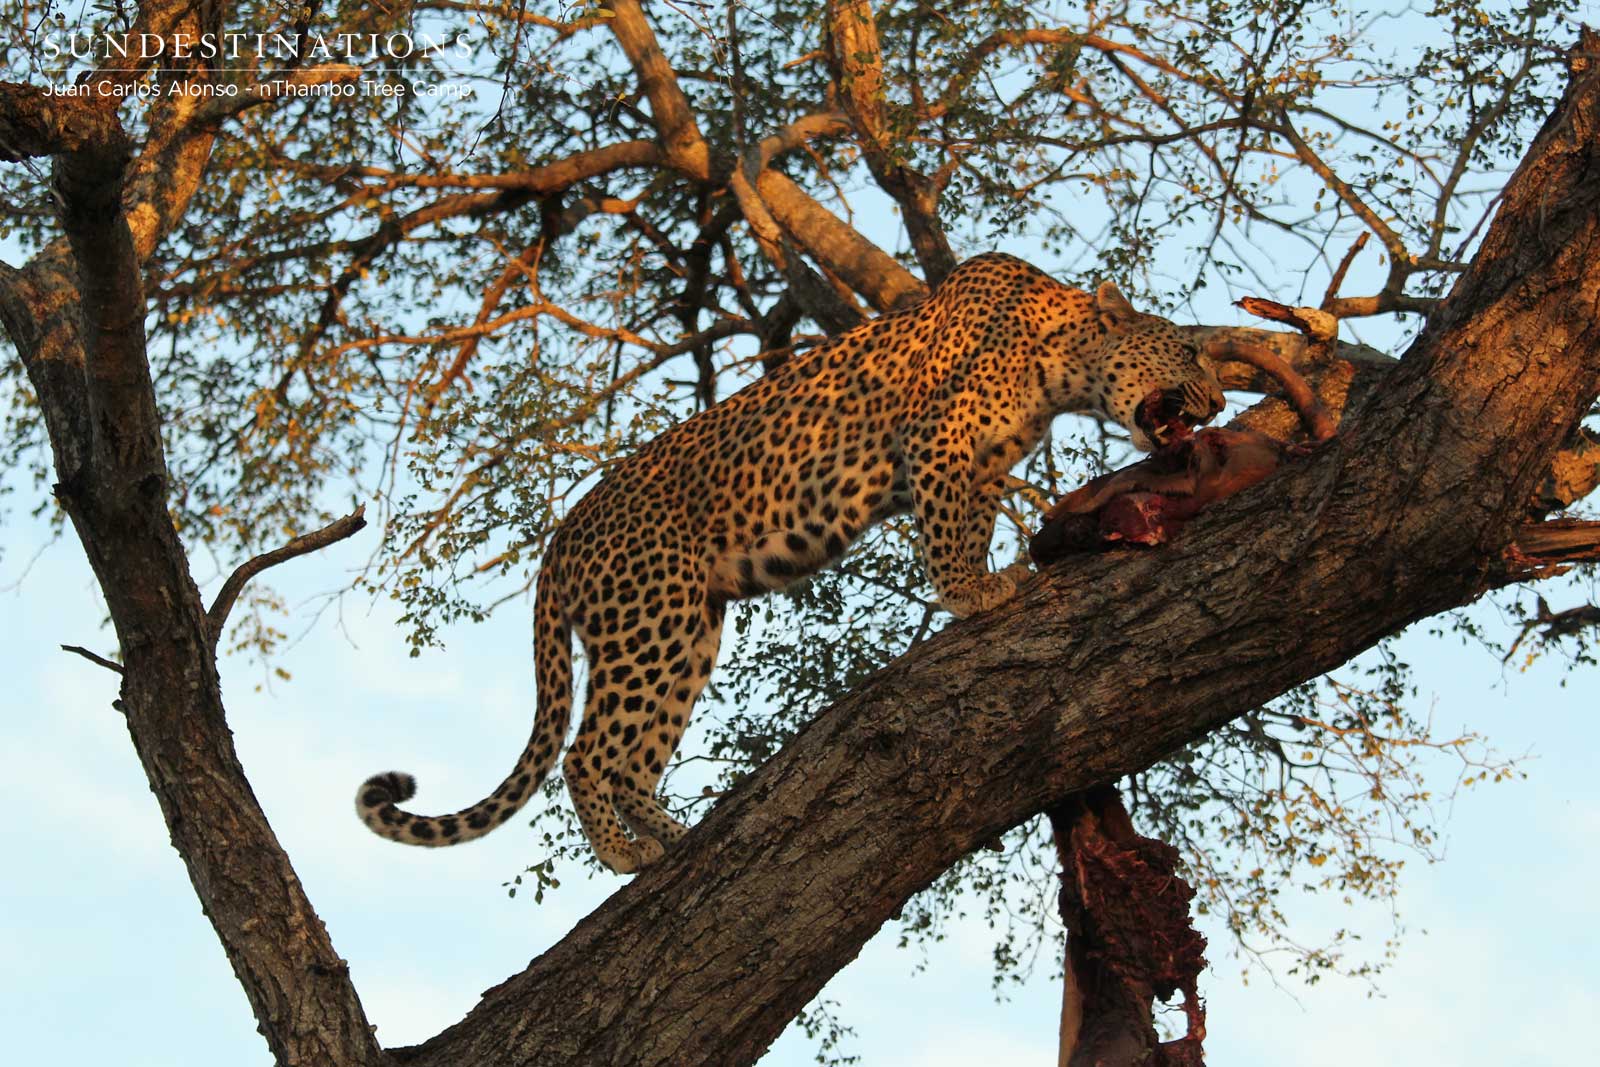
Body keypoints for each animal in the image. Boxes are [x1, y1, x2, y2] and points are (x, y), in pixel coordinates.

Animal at [355, 252, 1227, 873]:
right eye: (1189, 350)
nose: (1220, 403)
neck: (1062, 361)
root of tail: (562, 534)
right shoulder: (941, 444)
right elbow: (949, 536)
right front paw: (974, 592)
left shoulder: (980, 464)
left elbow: (971, 522)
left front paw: (982, 581)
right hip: (650, 621)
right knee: (584, 752)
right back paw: (622, 851)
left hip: (690, 629)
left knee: (632, 759)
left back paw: (671, 835)